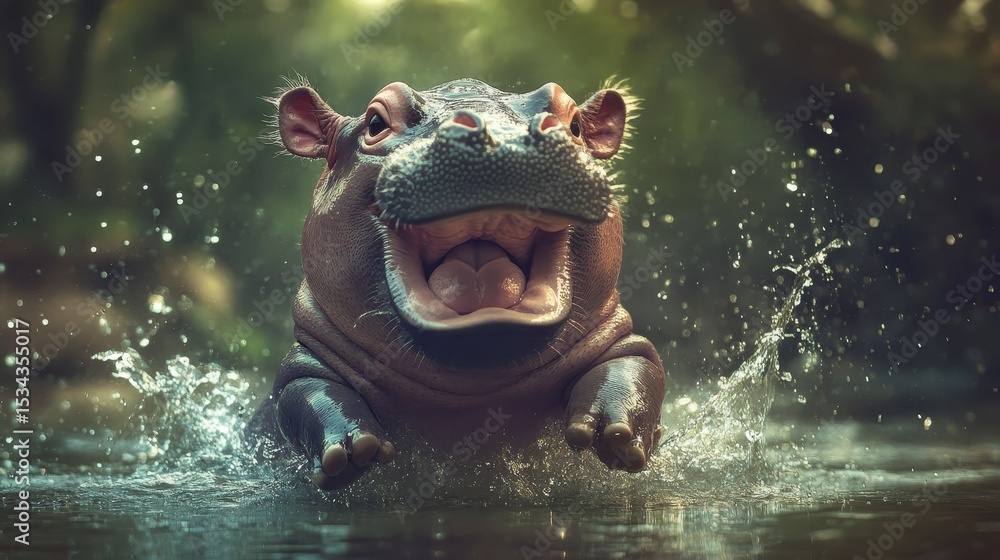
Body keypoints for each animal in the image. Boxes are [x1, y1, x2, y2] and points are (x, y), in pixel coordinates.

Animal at [250, 77, 666, 490]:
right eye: (375, 123)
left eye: (575, 124)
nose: (504, 139)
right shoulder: (307, 357)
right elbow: (308, 391)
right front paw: (353, 446)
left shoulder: (614, 335)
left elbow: (633, 365)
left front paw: (614, 432)